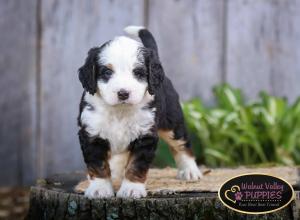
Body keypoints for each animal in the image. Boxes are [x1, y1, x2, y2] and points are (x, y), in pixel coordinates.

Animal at [76, 25, 203, 199]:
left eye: (138, 72)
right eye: (107, 72)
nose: (123, 93)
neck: (120, 111)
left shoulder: (145, 135)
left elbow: (136, 165)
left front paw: (131, 189)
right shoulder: (92, 133)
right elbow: (98, 164)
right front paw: (99, 189)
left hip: (172, 123)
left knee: (182, 144)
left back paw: (189, 171)